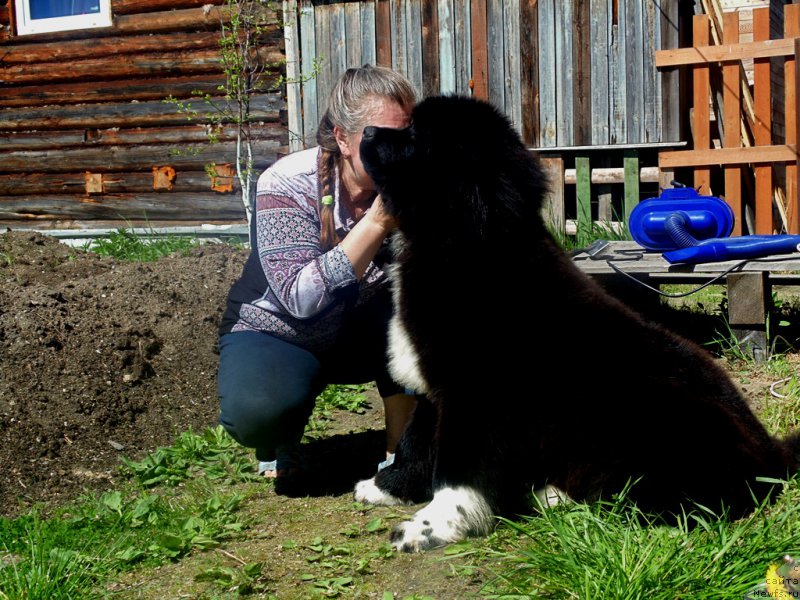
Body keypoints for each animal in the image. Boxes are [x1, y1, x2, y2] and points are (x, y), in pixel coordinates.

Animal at [356, 95, 800, 552]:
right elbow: (415, 440)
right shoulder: (436, 386)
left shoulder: (474, 395)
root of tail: (771, 454)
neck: (469, 244)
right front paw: (385, 486)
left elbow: (455, 472)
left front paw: (430, 526)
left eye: (413, 134)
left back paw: (557, 495)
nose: (366, 131)